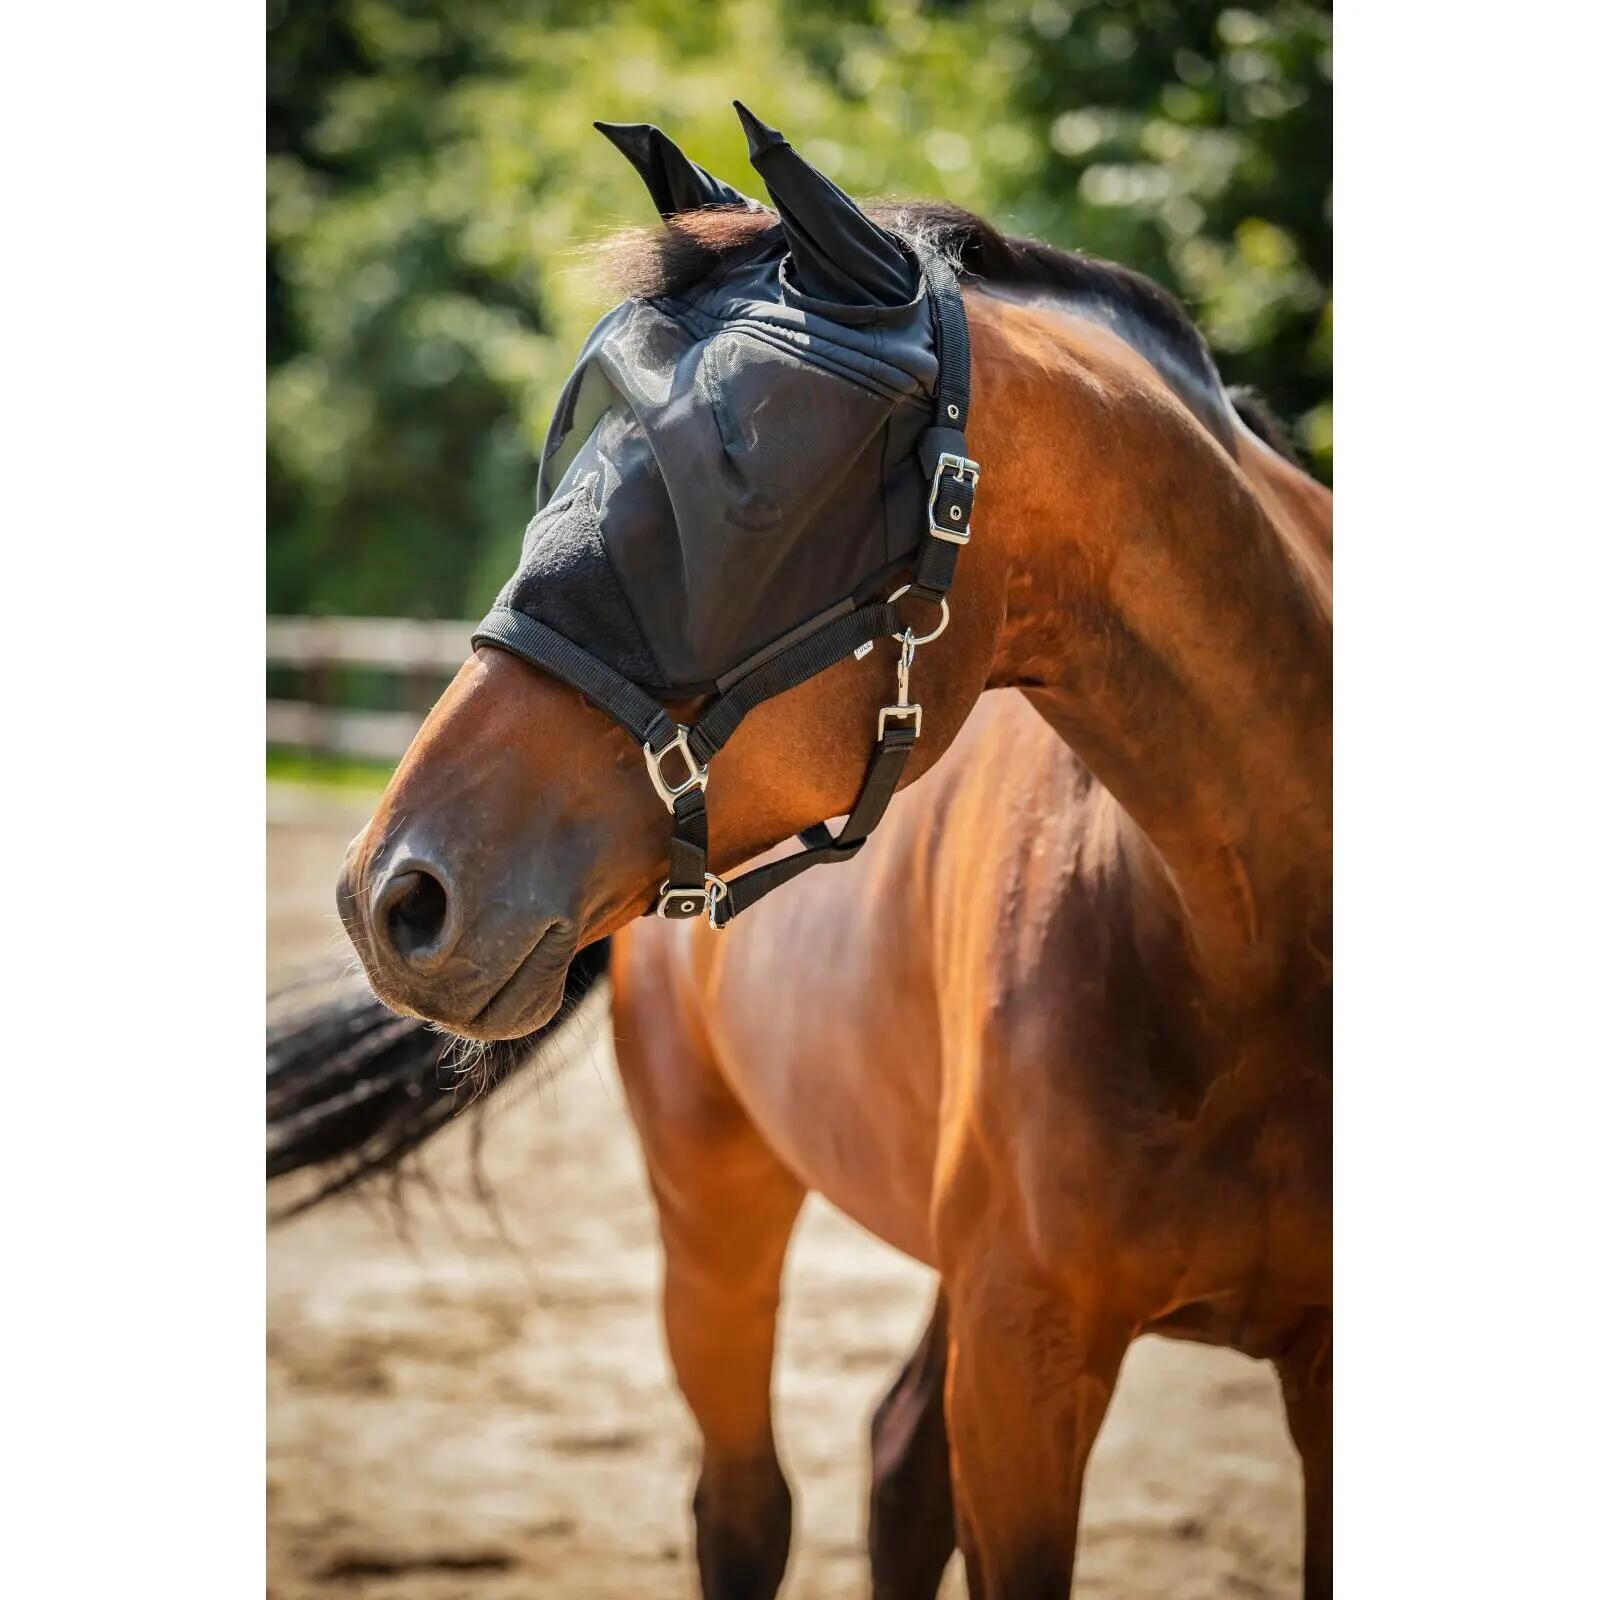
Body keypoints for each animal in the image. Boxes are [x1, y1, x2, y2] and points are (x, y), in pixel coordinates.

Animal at [300, 114, 1332, 1598]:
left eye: (752, 481)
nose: (396, 895)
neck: (1253, 945)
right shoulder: (1025, 1355)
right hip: (714, 1207)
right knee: (749, 1502)